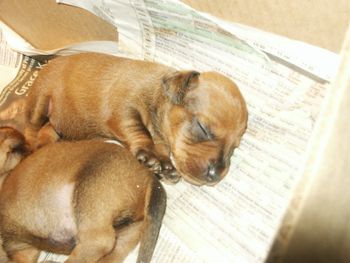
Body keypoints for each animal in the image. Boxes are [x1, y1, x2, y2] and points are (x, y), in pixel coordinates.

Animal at [23, 52, 249, 187]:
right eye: (202, 128)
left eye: (234, 148)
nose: (216, 175)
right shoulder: (124, 110)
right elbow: (138, 130)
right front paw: (148, 154)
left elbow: (162, 149)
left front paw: (166, 165)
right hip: (40, 101)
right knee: (31, 127)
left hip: (57, 122)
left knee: (48, 129)